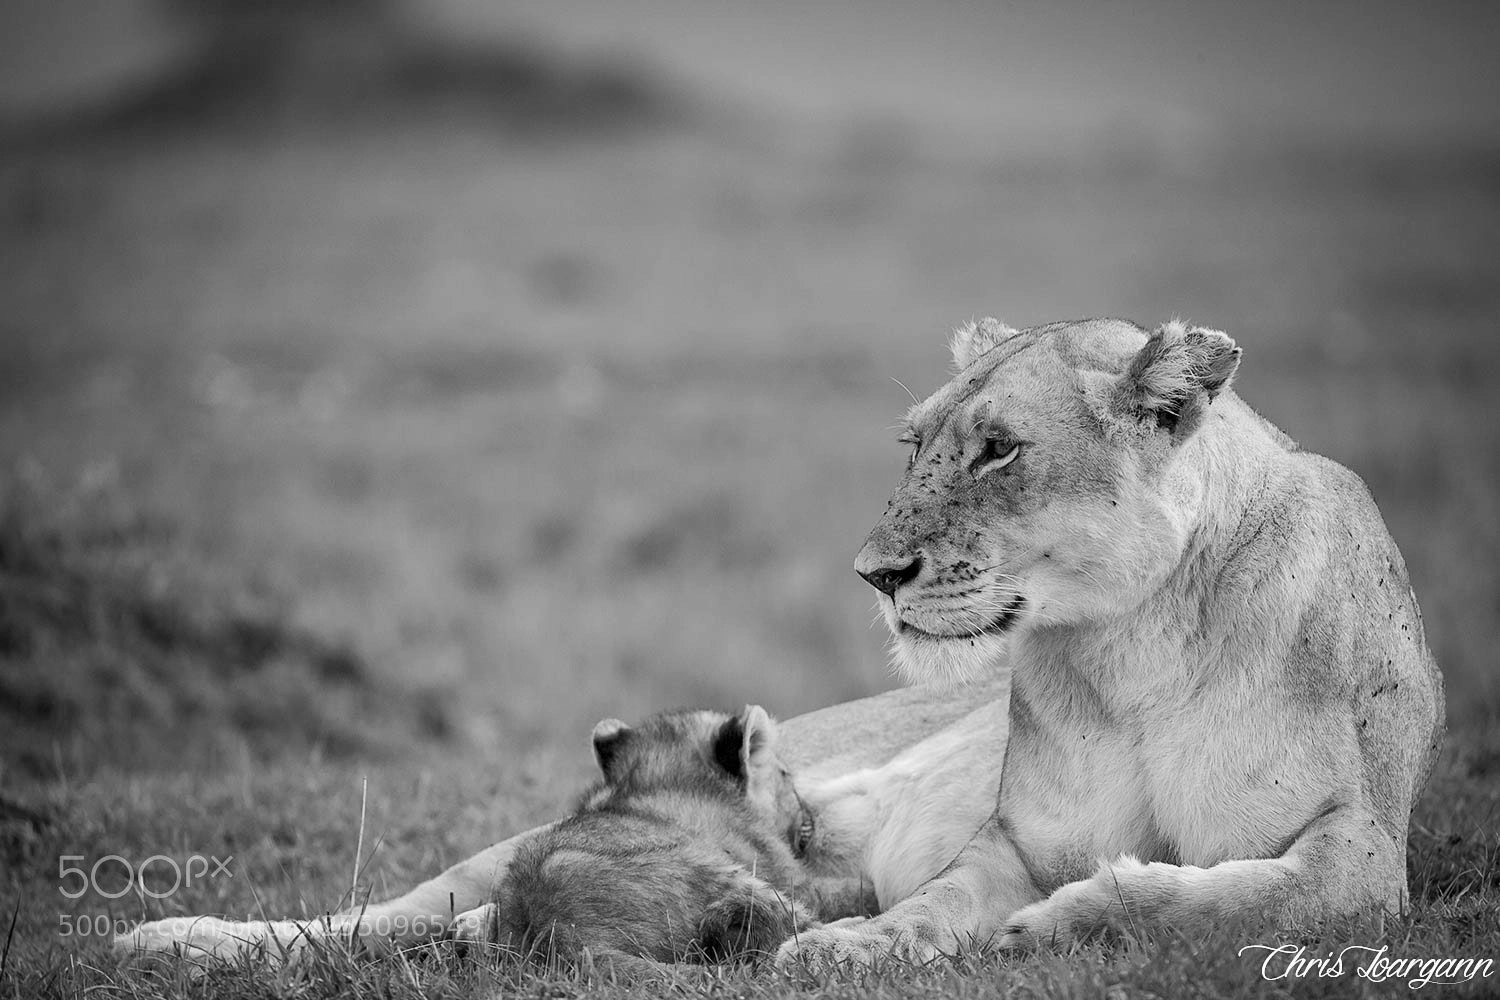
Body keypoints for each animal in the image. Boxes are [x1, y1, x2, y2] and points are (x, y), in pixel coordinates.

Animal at [118, 317, 1443, 970]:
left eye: (999, 449)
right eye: (916, 441)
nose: (875, 574)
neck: (1134, 644)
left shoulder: (1366, 852)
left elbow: (1221, 902)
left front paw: (1064, 925)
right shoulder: (1007, 841)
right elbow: (943, 899)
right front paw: (858, 947)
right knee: (387, 908)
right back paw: (172, 936)